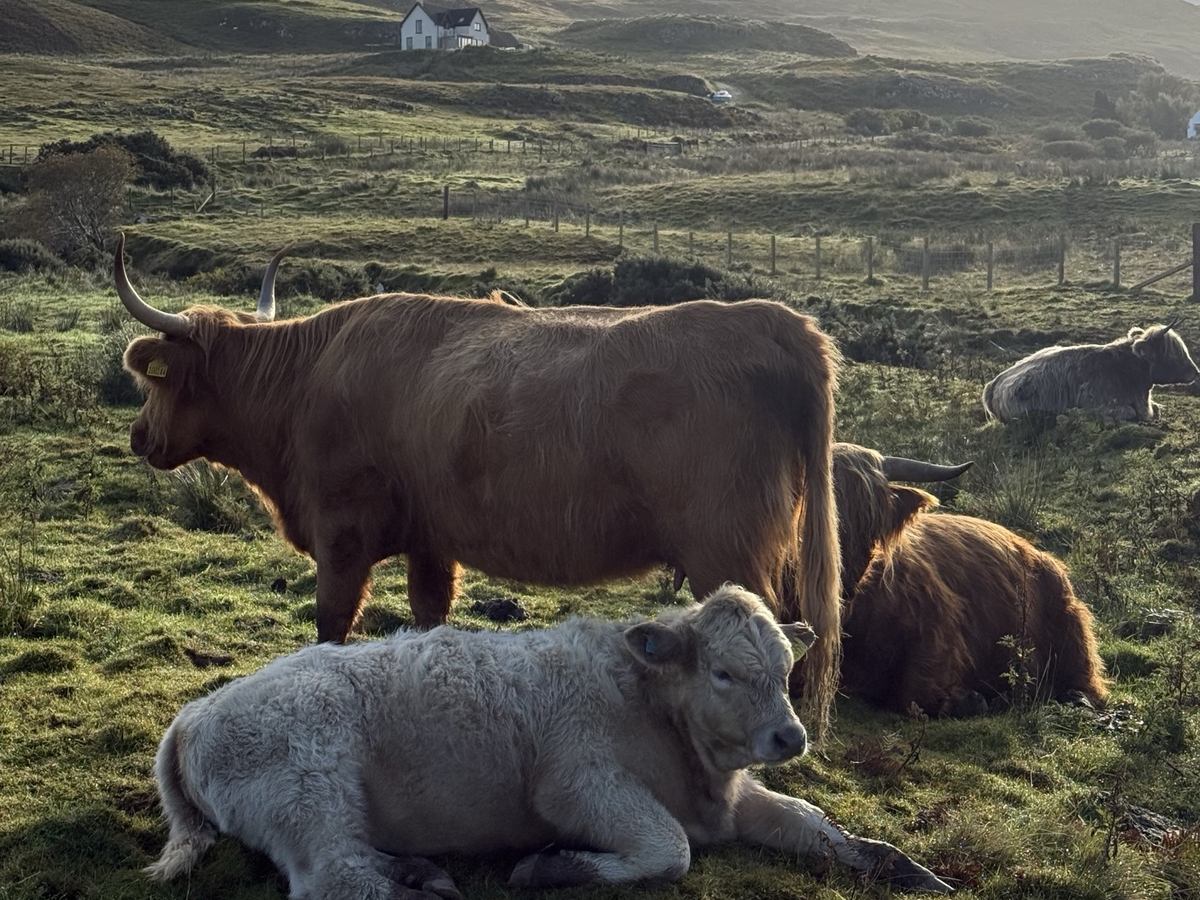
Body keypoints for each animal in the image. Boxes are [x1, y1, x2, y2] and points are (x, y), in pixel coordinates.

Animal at [114, 237, 842, 732]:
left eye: (157, 380)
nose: (139, 436)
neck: (304, 385)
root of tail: (777, 320)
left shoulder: (340, 535)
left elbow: (330, 625)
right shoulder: (430, 541)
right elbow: (428, 618)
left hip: (726, 551)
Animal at [144, 585, 952, 897]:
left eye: (787, 670)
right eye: (724, 672)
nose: (790, 736)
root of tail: (196, 713)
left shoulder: (735, 798)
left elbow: (815, 826)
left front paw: (900, 864)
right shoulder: (575, 785)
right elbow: (668, 850)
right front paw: (551, 867)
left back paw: (417, 871)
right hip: (310, 793)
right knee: (335, 879)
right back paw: (420, 885)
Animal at [831, 443, 1108, 716]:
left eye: (871, 520)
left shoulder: (940, 628)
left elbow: (913, 691)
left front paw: (968, 700)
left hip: (1069, 622)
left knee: (1085, 676)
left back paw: (1072, 697)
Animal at [982, 322, 1199, 423]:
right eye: (1172, 353)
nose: (1195, 371)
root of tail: (993, 384)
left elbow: (1157, 409)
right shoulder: (1101, 405)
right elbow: (1129, 413)